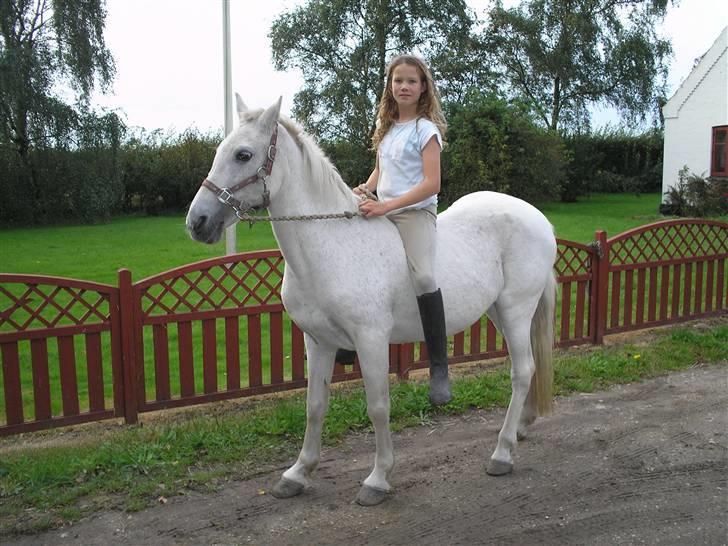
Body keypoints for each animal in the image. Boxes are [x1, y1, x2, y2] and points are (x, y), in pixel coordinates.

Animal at [186, 96, 557, 506]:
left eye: (243, 155)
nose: (197, 222)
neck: (332, 243)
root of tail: (538, 218)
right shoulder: (318, 342)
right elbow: (315, 406)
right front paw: (298, 473)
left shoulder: (371, 340)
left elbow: (378, 407)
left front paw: (378, 478)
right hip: (498, 312)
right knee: (529, 368)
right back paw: (520, 429)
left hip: (515, 310)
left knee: (522, 371)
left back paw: (503, 452)